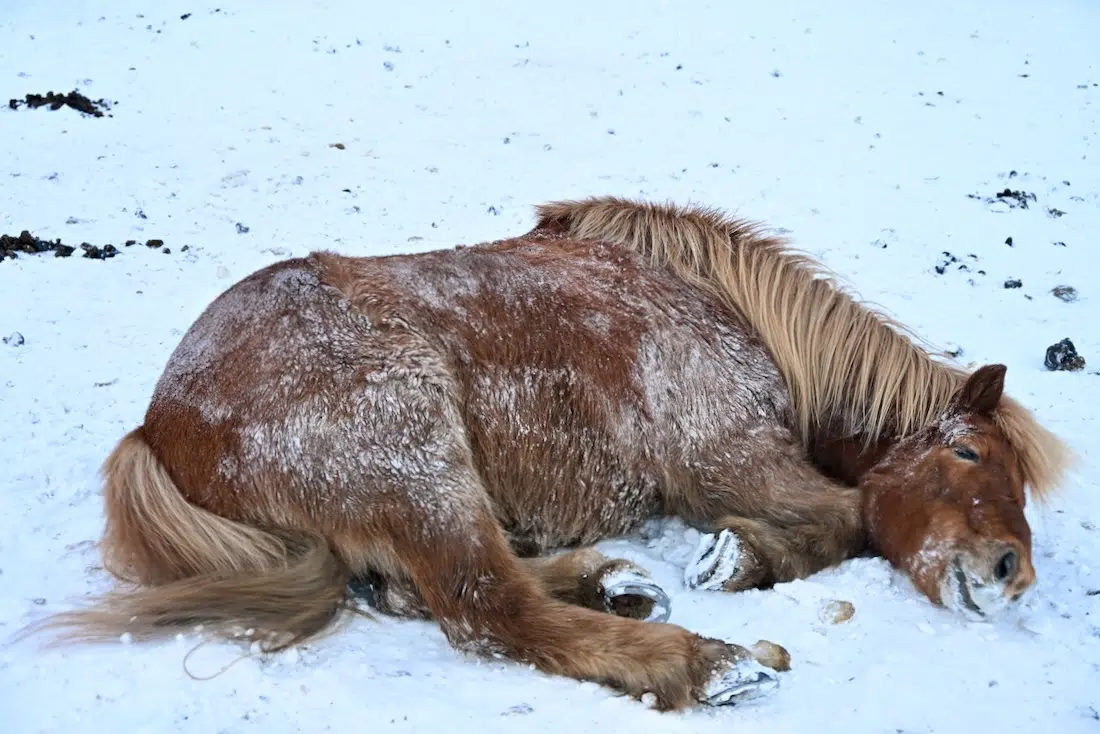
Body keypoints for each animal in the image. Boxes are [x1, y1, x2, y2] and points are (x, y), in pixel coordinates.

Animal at [27, 196, 1072, 711]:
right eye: (968, 454)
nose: (1009, 572)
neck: (731, 317)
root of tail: (160, 424)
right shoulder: (732, 457)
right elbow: (848, 520)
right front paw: (739, 561)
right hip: (416, 453)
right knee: (486, 610)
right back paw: (699, 662)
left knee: (432, 591)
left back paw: (614, 581)